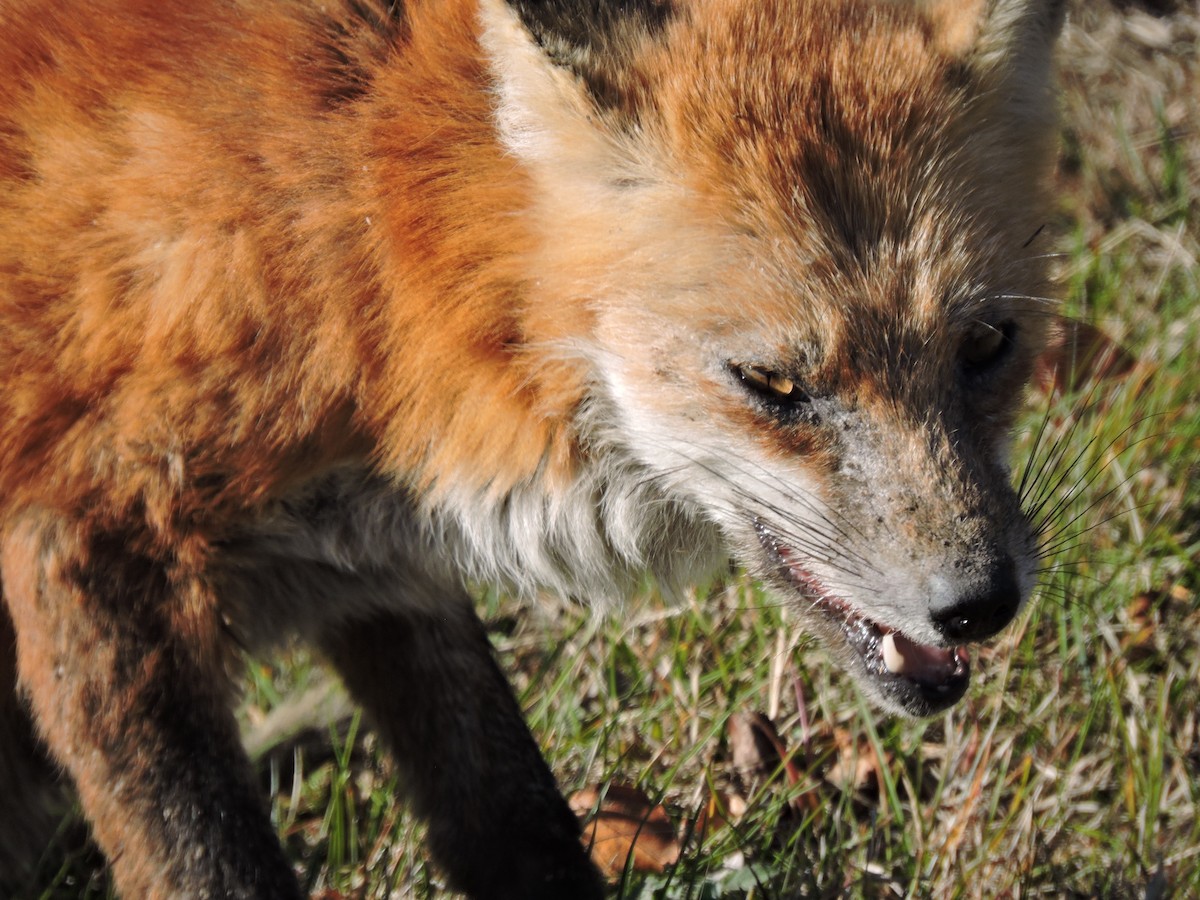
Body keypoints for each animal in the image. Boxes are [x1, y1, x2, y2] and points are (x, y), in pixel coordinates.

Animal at [0, 0, 1067, 896]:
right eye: (771, 384)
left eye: (986, 346)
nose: (981, 604)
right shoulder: (81, 549)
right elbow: (205, 860)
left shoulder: (373, 571)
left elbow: (510, 812)